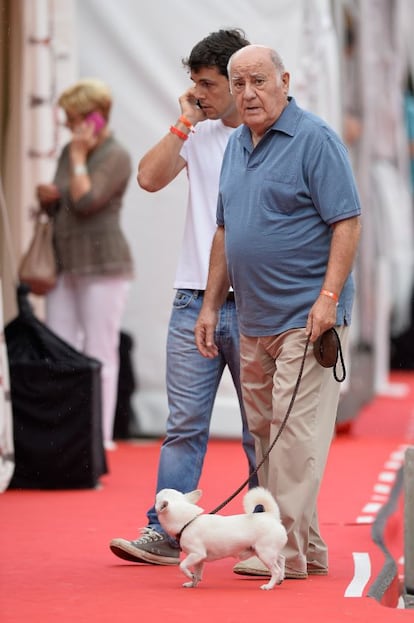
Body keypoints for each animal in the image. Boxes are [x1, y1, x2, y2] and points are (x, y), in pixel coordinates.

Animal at [155, 488, 288, 588]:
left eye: (156, 498)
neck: (189, 521)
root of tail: (271, 516)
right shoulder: (199, 559)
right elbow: (198, 573)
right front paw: (192, 583)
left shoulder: (196, 554)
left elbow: (182, 566)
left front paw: (189, 575)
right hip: (267, 551)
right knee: (281, 558)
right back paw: (280, 578)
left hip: (264, 553)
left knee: (275, 570)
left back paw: (269, 586)